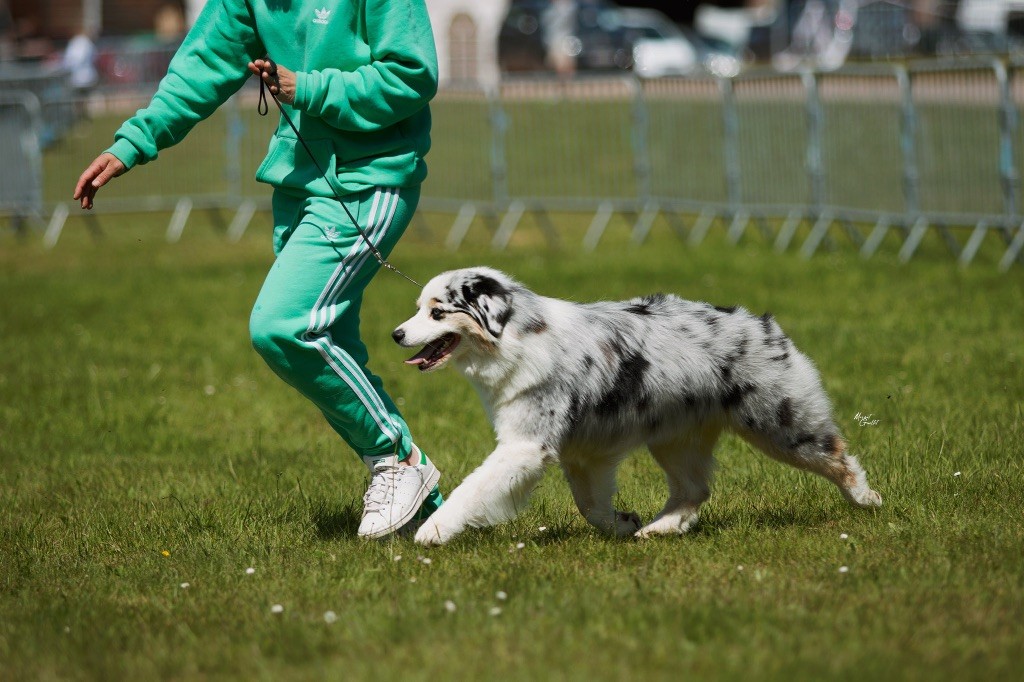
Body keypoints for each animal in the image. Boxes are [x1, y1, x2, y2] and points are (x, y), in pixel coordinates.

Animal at [391, 262, 880, 544]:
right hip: (674, 439)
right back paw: (658, 529)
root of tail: (763, 323)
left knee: (837, 455)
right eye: (416, 308)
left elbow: (472, 489)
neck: (515, 336)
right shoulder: (582, 453)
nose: (396, 334)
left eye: (437, 312)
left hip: (779, 424)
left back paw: (867, 499)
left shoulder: (524, 447)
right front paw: (622, 524)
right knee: (694, 489)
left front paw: (433, 530)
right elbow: (590, 505)